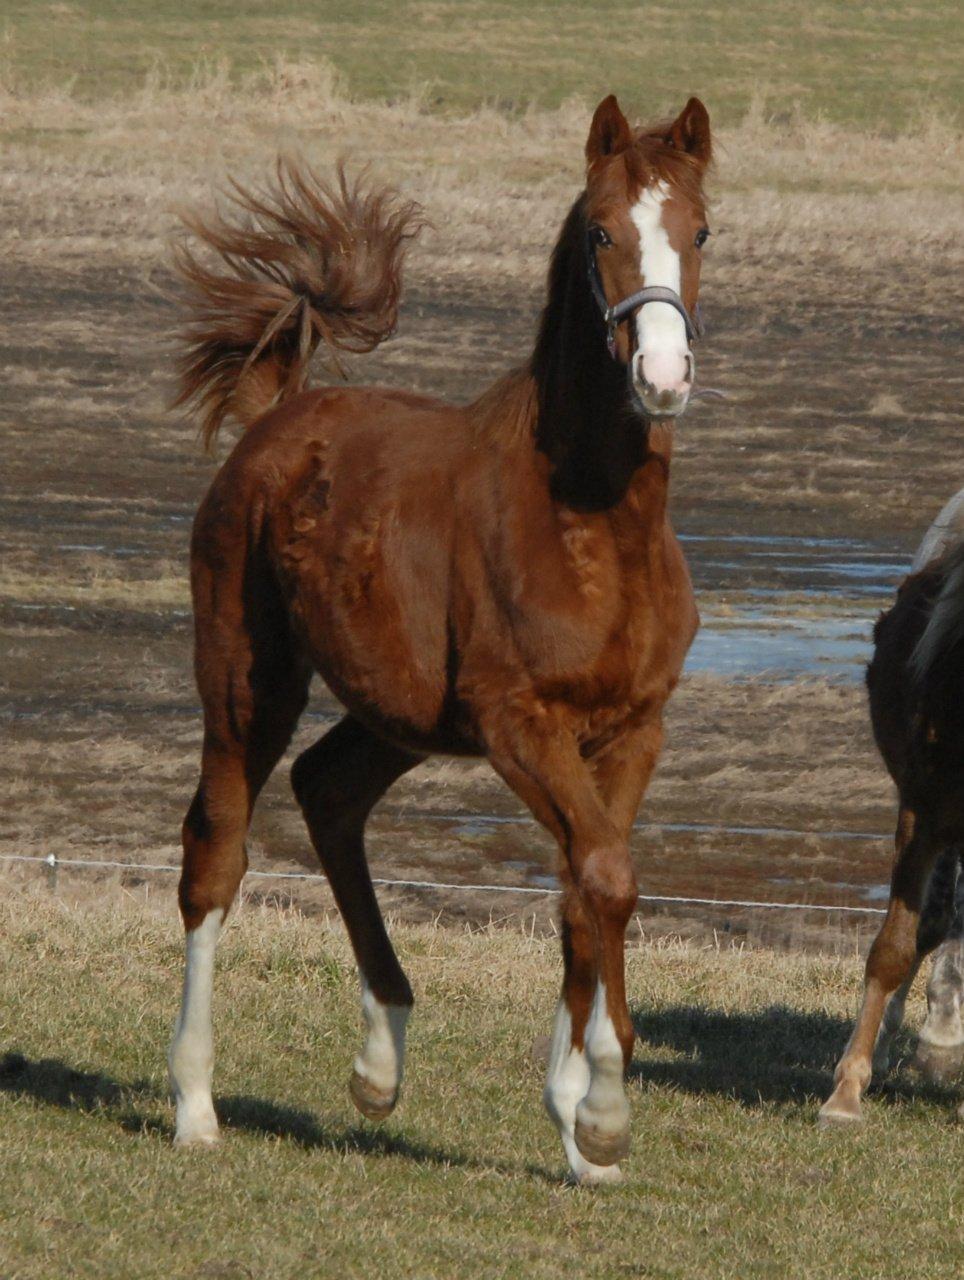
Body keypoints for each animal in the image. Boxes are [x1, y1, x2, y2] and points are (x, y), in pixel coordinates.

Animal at [165, 94, 711, 1182]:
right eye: (602, 232)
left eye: (703, 231)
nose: (663, 374)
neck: (593, 524)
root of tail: (276, 418)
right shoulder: (519, 725)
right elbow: (604, 878)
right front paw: (602, 1113)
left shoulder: (632, 730)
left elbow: (588, 888)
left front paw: (578, 1128)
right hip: (248, 681)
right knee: (217, 853)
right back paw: (195, 1105)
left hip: (399, 713)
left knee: (329, 790)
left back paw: (381, 1060)